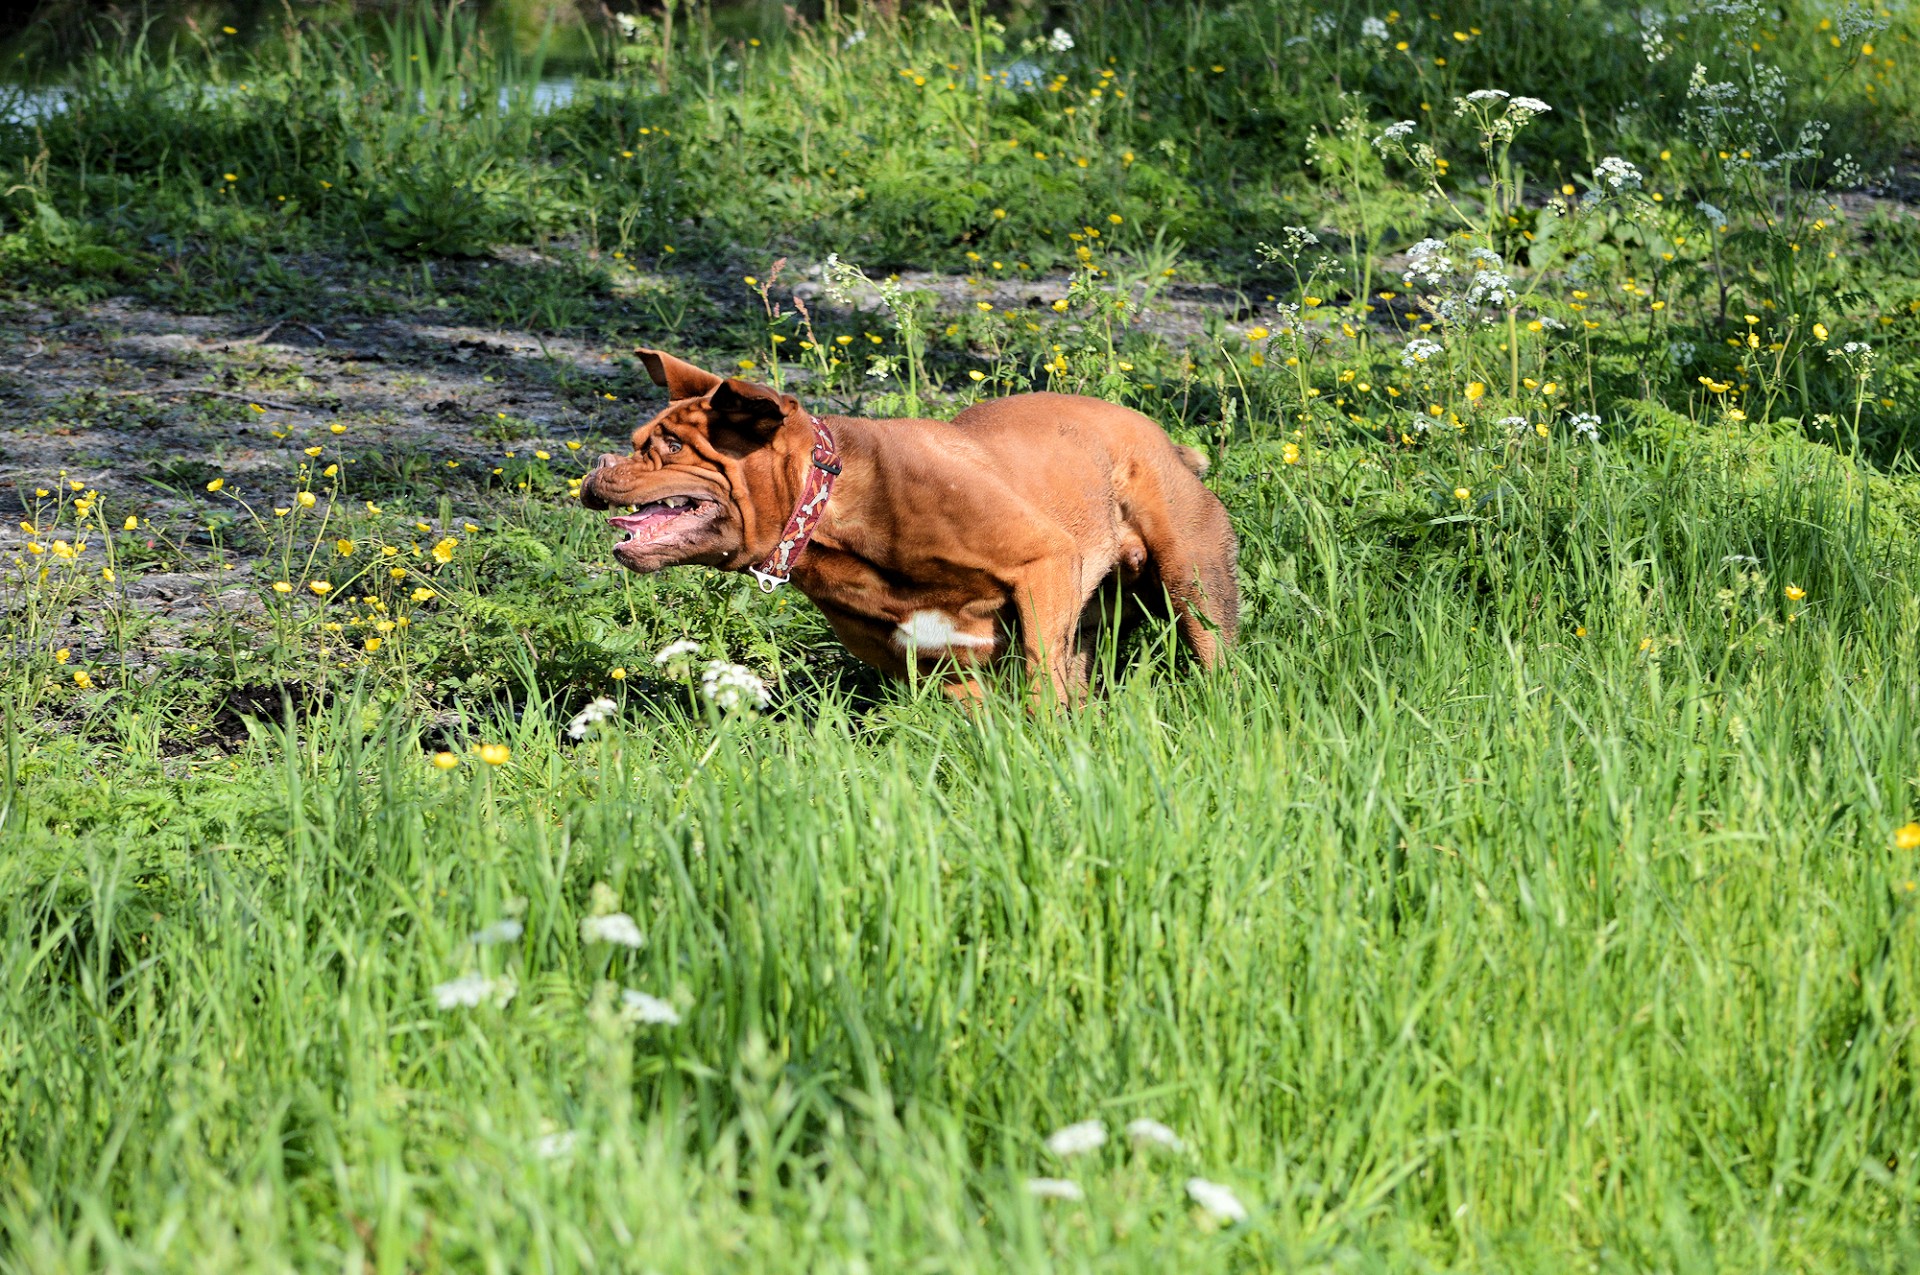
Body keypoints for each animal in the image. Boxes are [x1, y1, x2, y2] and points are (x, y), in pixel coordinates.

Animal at [579, 349, 1244, 702]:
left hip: (1193, 577)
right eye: (638, 441)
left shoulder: (1044, 562)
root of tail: (1165, 441)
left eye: (668, 446)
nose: (599, 467)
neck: (827, 513)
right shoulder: (943, 666)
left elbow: (1039, 684)